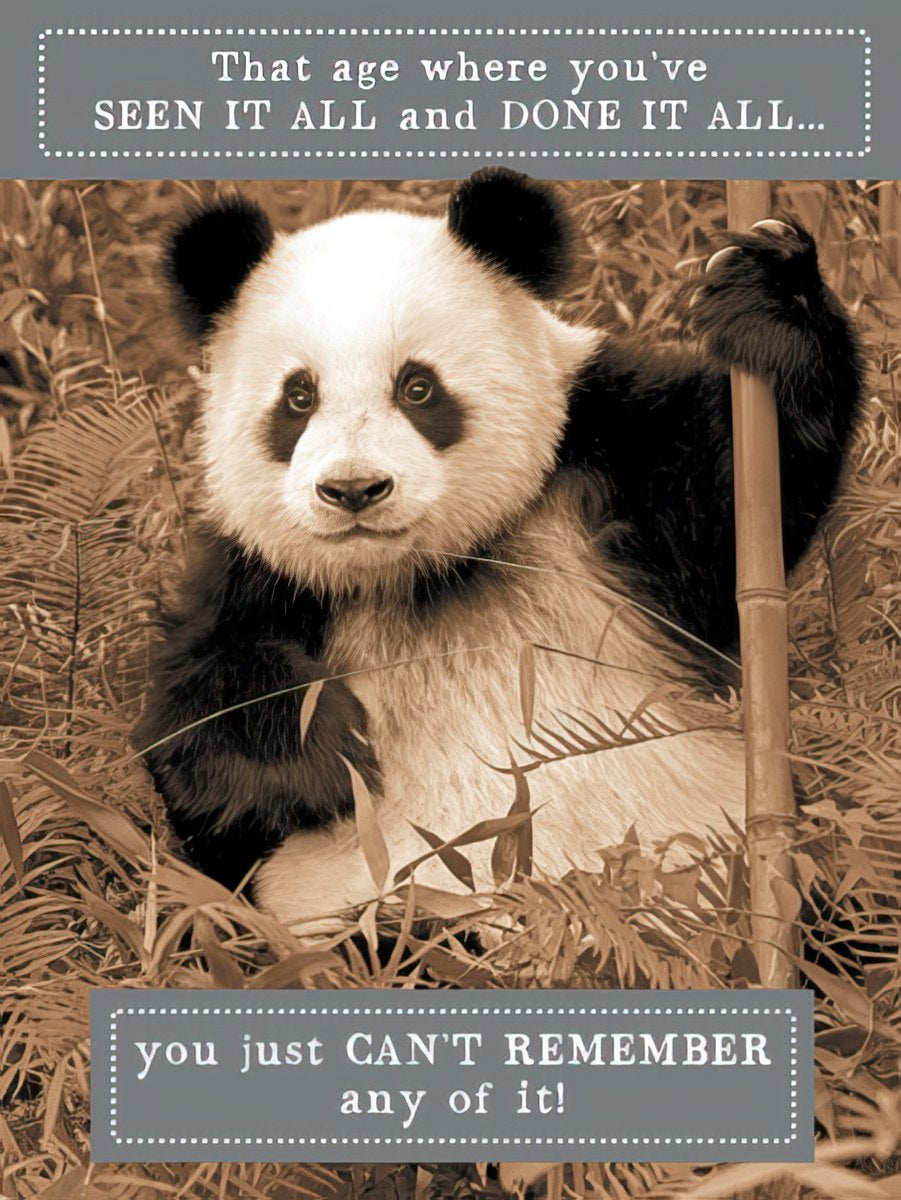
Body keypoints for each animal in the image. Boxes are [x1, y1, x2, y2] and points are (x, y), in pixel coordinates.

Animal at [141, 168, 863, 929]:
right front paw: (328, 751)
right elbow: (194, 725)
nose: (354, 489)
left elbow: (732, 510)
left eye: (418, 387)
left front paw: (768, 295)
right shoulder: (258, 573)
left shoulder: (601, 469)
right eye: (297, 398)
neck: (426, 573)